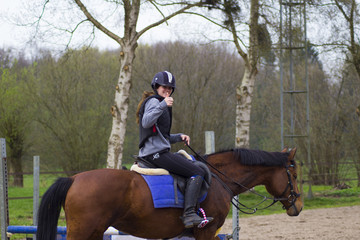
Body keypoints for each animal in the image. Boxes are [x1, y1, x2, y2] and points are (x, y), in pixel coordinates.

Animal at [36, 147, 302, 239]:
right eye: (295, 175)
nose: (297, 207)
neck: (219, 179)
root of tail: (73, 179)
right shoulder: (205, 232)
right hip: (83, 231)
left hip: (95, 232)